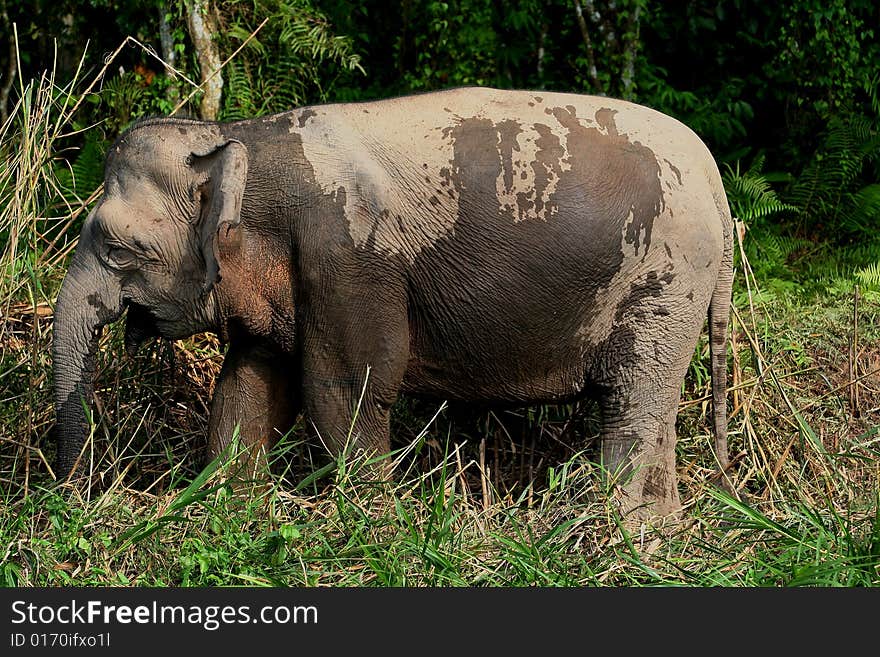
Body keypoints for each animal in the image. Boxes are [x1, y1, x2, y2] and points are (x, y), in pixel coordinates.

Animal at [51, 86, 732, 516]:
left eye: (117, 249)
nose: (75, 499)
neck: (239, 140)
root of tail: (714, 175)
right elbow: (246, 386)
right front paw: (225, 505)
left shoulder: (348, 254)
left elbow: (344, 387)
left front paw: (374, 518)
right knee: (648, 405)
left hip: (666, 281)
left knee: (632, 401)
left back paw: (617, 534)